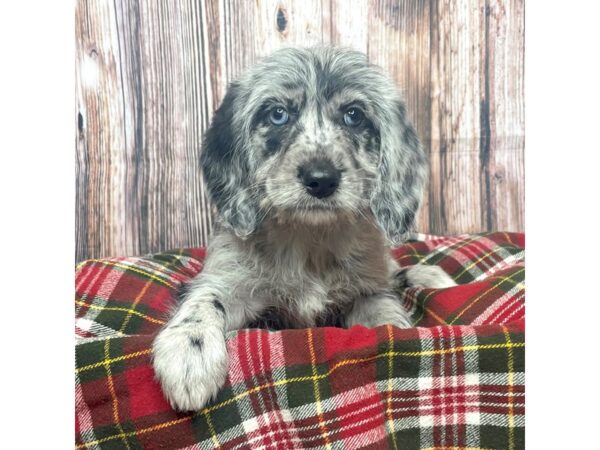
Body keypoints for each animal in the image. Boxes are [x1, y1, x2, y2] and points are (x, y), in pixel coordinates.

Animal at [151, 45, 454, 412]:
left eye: (354, 115)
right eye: (278, 114)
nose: (321, 179)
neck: (309, 240)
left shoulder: (367, 289)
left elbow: (385, 312)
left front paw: (397, 331)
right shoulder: (230, 279)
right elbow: (204, 301)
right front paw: (189, 352)